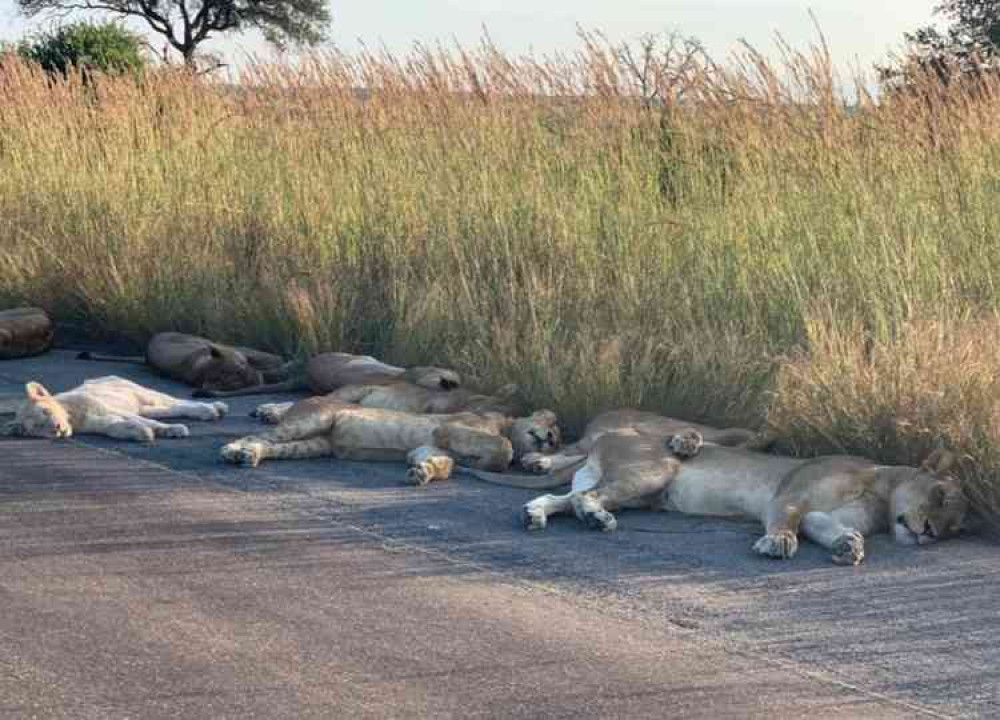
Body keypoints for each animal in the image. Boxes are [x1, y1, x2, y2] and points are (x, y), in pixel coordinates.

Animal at [0, 376, 229, 444]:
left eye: (46, 412)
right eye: (38, 427)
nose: (56, 428)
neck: (74, 417)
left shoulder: (106, 407)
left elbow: (149, 423)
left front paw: (173, 430)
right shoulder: (101, 423)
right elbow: (117, 427)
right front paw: (140, 433)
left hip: (143, 393)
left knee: (176, 401)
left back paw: (214, 408)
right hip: (145, 407)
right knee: (168, 409)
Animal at [219, 396, 560, 486]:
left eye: (557, 441)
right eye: (552, 426)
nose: (549, 439)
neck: (507, 423)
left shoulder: (426, 446)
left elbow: (443, 464)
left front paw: (423, 473)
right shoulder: (449, 428)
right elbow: (505, 447)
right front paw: (493, 461)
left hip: (313, 445)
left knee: (272, 446)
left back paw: (250, 456)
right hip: (314, 418)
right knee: (258, 435)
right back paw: (231, 450)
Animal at [524, 414, 968, 564]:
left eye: (954, 529)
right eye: (939, 496)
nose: (930, 533)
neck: (879, 489)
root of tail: (604, 440)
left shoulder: (820, 515)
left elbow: (830, 528)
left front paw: (849, 547)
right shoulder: (791, 494)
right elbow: (785, 521)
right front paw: (779, 543)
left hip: (633, 490)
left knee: (564, 498)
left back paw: (536, 513)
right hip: (654, 470)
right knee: (585, 497)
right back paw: (597, 518)